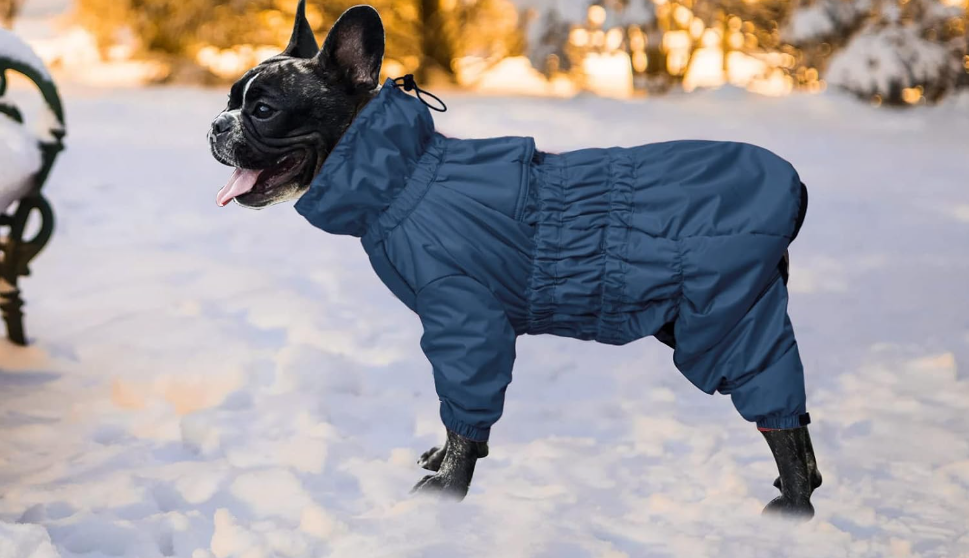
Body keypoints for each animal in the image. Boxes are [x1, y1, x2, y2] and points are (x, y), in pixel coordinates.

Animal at [208, 1, 820, 520]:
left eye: (262, 109)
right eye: (230, 101)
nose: (216, 125)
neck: (405, 178)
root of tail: (795, 185)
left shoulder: (466, 324)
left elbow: (464, 416)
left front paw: (447, 490)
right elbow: (454, 418)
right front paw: (443, 463)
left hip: (723, 319)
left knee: (779, 415)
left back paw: (793, 505)